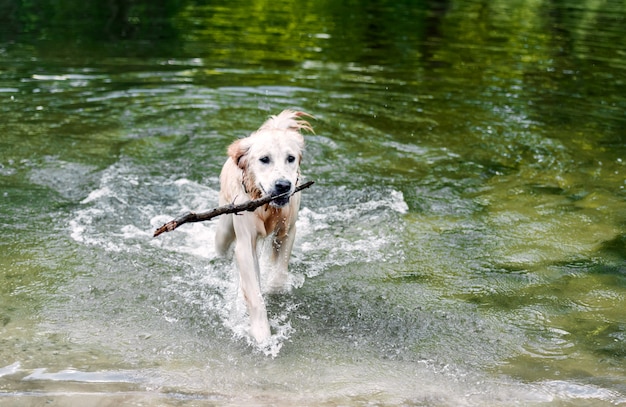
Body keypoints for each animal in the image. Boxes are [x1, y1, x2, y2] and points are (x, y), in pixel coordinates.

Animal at [214, 109, 312, 344]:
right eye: (264, 159)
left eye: (290, 158)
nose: (283, 185)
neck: (268, 207)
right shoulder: (245, 243)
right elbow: (254, 294)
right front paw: (261, 334)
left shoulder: (288, 231)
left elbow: (278, 275)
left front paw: (273, 288)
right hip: (224, 228)